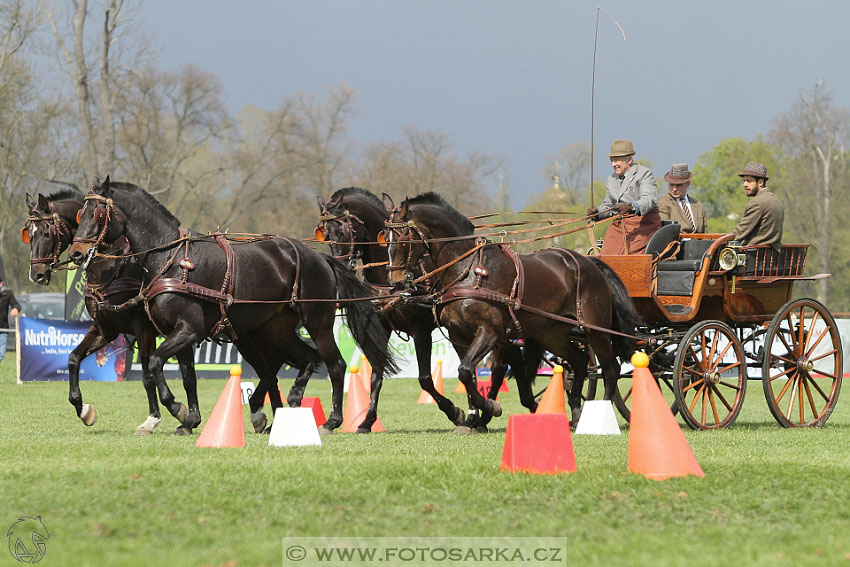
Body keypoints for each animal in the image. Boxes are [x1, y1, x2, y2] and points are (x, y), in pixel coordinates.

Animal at [23, 191, 199, 434]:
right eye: (28, 234)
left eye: (47, 232)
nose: (37, 274)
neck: (113, 270)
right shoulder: (105, 328)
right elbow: (73, 358)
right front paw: (83, 409)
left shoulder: (143, 329)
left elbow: (147, 376)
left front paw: (154, 418)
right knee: (189, 375)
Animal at [68, 179, 396, 434]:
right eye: (79, 214)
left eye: (97, 213)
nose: (76, 252)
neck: (171, 259)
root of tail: (321, 258)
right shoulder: (175, 333)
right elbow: (186, 377)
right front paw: (190, 419)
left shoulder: (185, 330)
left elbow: (154, 365)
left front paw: (176, 409)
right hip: (274, 329)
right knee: (301, 360)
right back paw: (285, 404)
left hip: (317, 322)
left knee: (334, 364)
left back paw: (331, 420)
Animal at [314, 189, 524, 432]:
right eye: (325, 234)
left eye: (344, 230)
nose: (341, 266)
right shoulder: (383, 327)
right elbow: (376, 373)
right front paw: (367, 421)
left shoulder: (421, 330)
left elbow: (425, 377)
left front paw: (455, 412)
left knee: (496, 369)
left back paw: (482, 415)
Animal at [380, 193, 640, 424]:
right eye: (385, 239)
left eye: (404, 238)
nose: (397, 282)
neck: (468, 269)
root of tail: (591, 263)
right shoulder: (459, 335)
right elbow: (468, 374)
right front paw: (475, 415)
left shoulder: (490, 331)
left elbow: (466, 370)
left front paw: (488, 407)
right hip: (552, 333)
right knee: (579, 362)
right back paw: (576, 411)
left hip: (595, 329)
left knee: (610, 369)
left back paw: (600, 415)